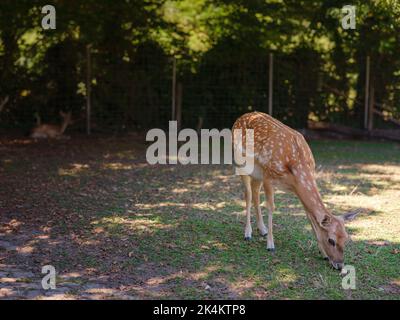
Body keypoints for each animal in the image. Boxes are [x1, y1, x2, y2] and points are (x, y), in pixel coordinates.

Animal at [231, 111, 360, 268]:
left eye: (346, 238)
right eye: (331, 240)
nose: (339, 265)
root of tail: (240, 117)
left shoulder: (293, 187)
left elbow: (310, 216)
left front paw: (323, 254)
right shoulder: (268, 176)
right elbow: (271, 207)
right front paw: (270, 245)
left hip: (257, 174)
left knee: (255, 194)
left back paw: (262, 230)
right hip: (240, 164)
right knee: (248, 194)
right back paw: (248, 233)